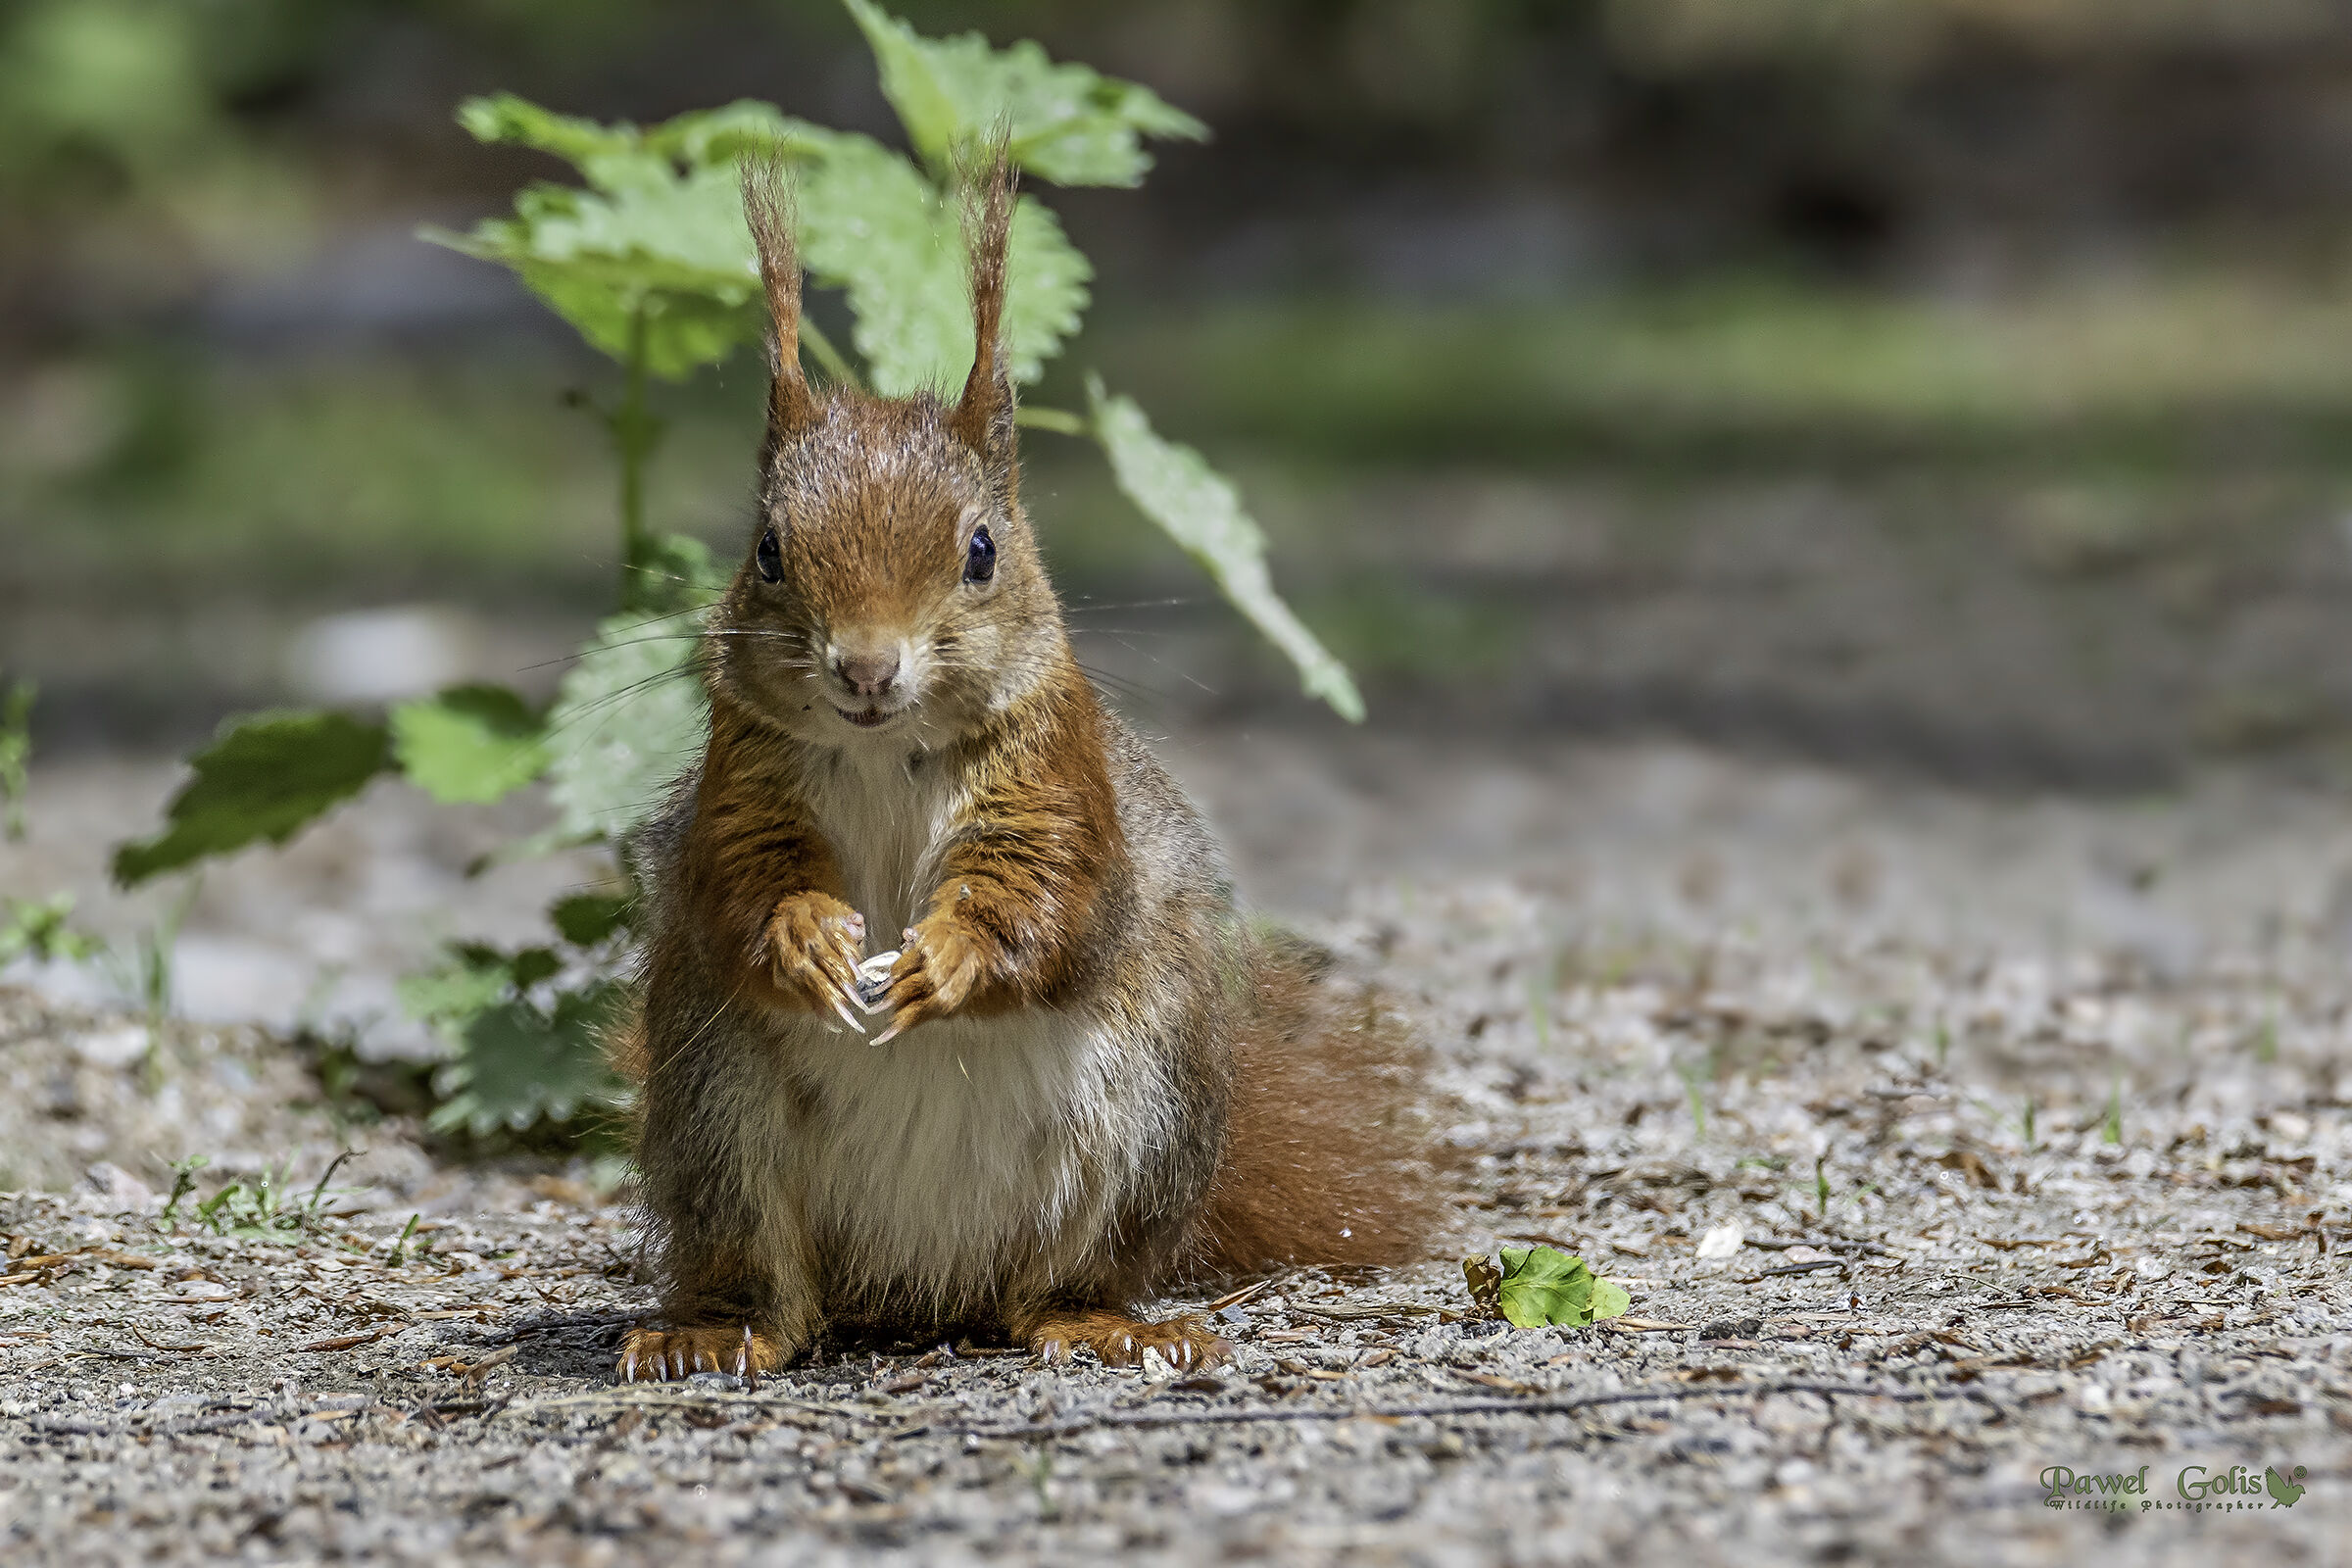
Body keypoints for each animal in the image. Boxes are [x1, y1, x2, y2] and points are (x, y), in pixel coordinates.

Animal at [610, 154, 1439, 1382]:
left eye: (981, 551)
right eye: (766, 551)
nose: (865, 667)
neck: (883, 750)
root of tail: (915, 1283)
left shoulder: (1055, 776)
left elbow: (1045, 896)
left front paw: (948, 959)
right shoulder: (741, 779)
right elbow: (741, 884)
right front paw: (805, 937)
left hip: (1142, 1124)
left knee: (1046, 1288)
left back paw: (1105, 1323)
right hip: (717, 1113)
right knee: (774, 1286)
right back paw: (715, 1332)